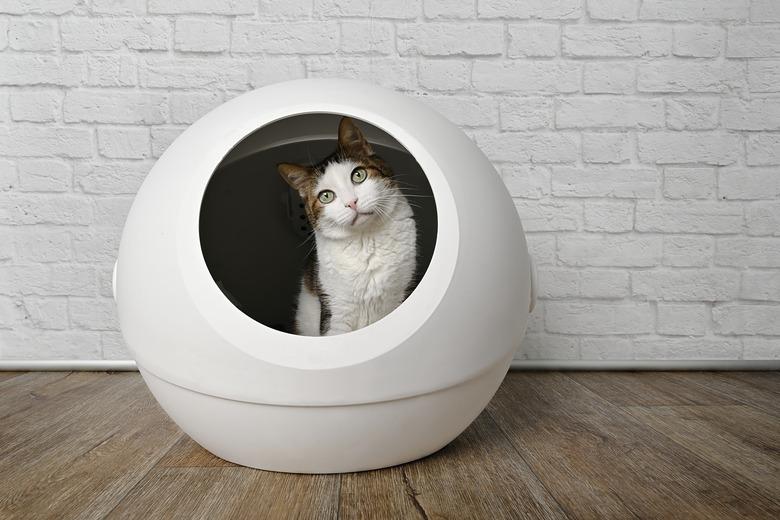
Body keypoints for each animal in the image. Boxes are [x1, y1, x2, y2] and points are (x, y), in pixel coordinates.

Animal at [278, 117, 418, 338]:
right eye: (326, 196)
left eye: (358, 175)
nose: (352, 202)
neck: (365, 241)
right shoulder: (335, 309)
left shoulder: (402, 290)